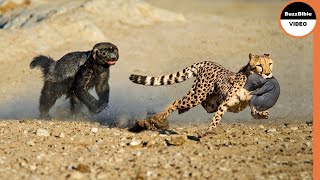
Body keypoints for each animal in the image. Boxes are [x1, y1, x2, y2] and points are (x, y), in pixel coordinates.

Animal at [129, 53, 274, 136]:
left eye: (270, 64)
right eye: (259, 65)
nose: (268, 74)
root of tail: (207, 62)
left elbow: (254, 112)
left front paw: (263, 114)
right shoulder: (224, 104)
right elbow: (216, 119)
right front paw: (209, 131)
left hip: (210, 103)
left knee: (197, 105)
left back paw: (179, 111)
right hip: (197, 96)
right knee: (177, 101)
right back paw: (158, 118)